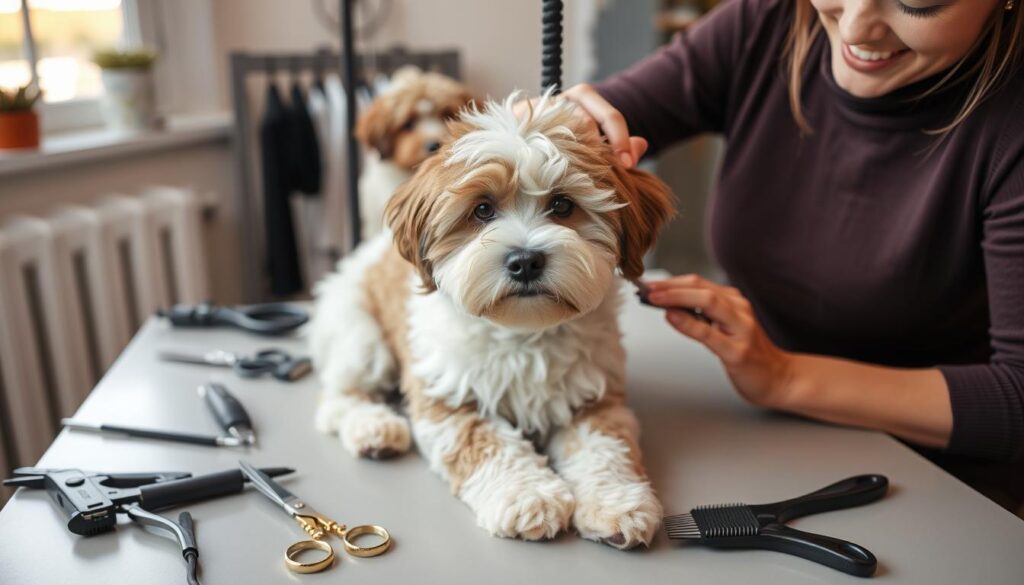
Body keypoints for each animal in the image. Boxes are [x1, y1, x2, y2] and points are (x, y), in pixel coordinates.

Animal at [313, 92, 679, 549]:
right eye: (483, 209)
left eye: (562, 205)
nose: (525, 260)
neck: (523, 332)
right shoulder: (445, 398)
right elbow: (487, 442)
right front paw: (528, 496)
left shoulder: (594, 395)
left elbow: (606, 445)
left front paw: (617, 503)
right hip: (361, 334)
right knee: (338, 396)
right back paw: (374, 429)